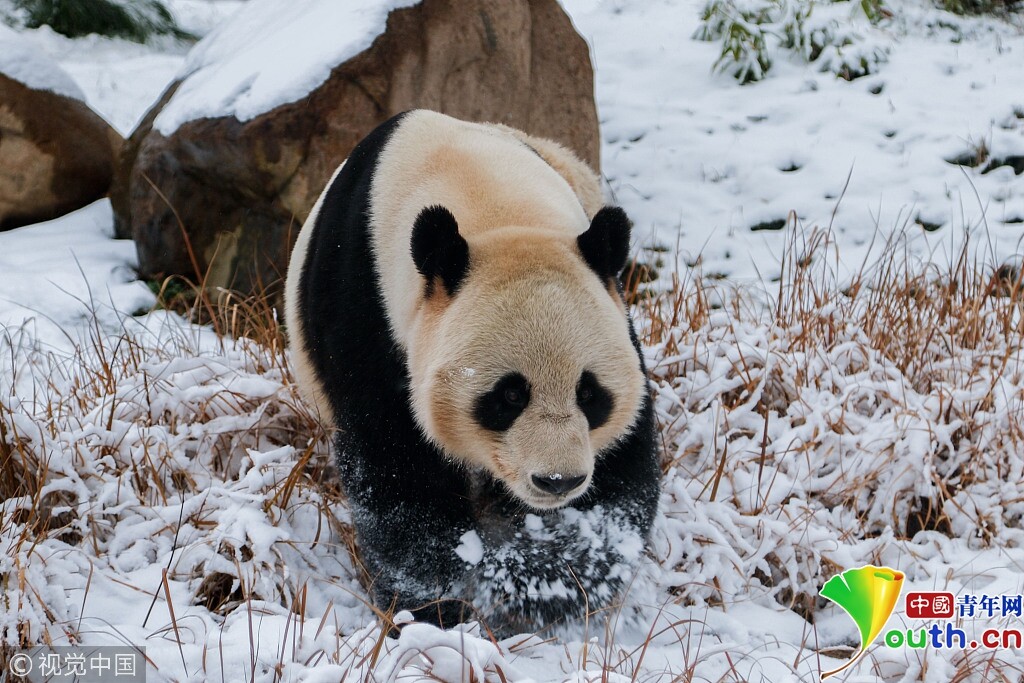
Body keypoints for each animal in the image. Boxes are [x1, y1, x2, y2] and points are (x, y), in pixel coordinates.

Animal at [284, 108, 659, 634]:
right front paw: (433, 609)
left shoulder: (613, 311)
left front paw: (548, 582)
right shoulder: (367, 314)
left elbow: (620, 476)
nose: (557, 482)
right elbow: (397, 473)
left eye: (589, 393)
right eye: (509, 395)